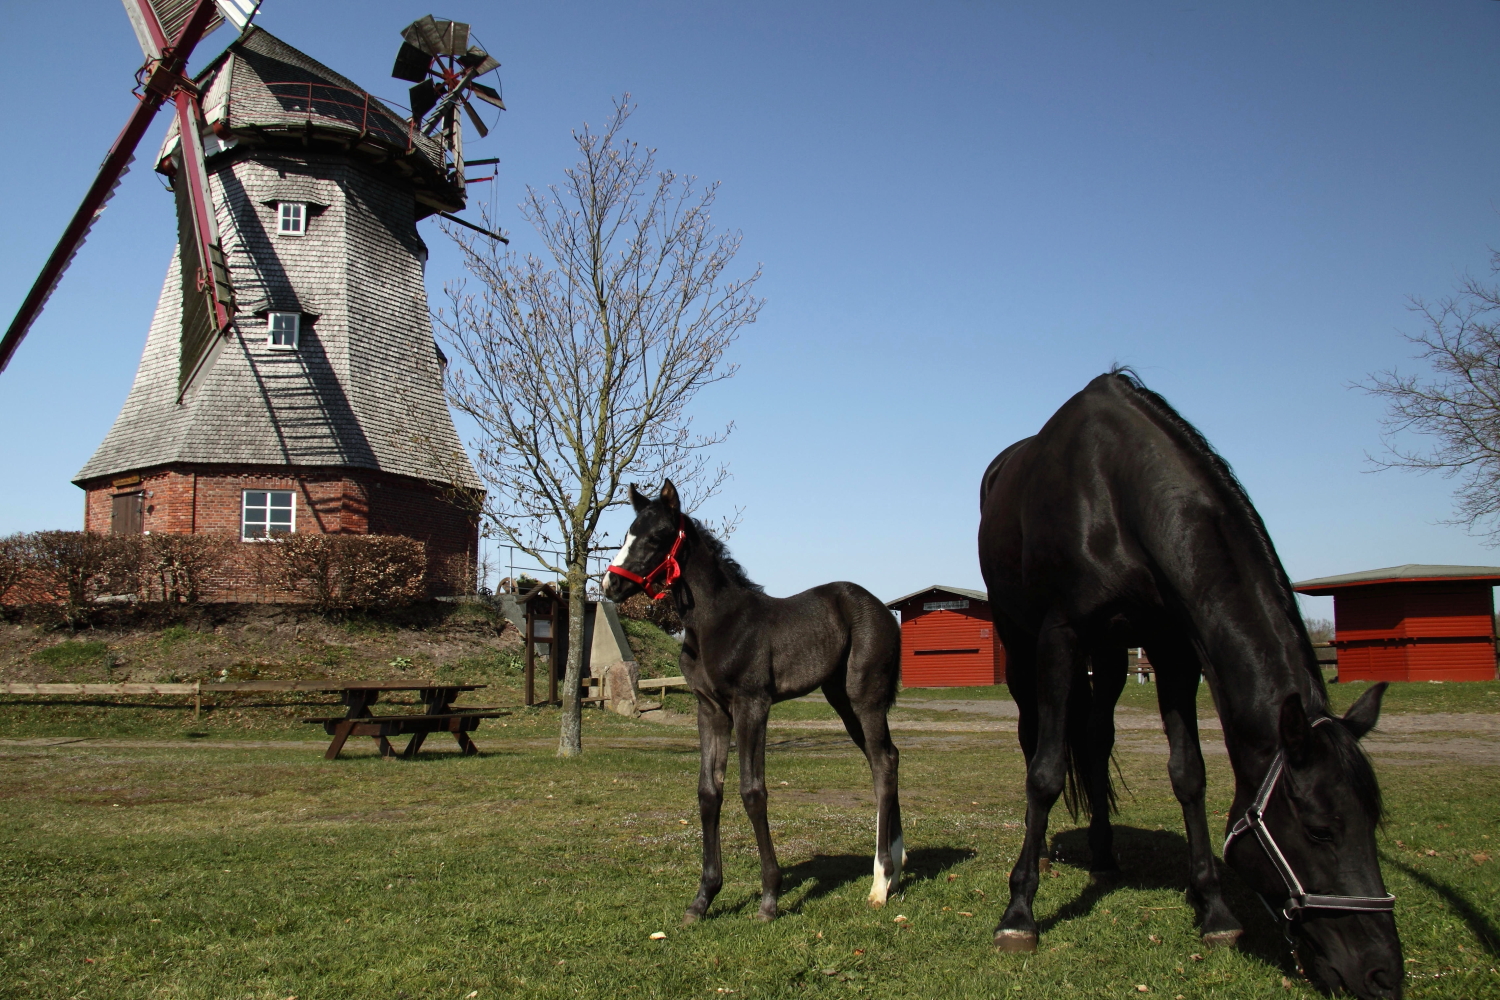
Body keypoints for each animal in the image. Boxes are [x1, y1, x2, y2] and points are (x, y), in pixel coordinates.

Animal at [603, 482, 906, 923]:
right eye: (627, 533)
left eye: (657, 536)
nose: (610, 585)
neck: (717, 624)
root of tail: (884, 610)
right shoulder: (710, 709)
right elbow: (708, 791)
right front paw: (703, 897)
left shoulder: (752, 705)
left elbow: (752, 791)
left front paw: (769, 898)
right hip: (841, 699)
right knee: (885, 757)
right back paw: (897, 869)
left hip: (864, 695)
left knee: (882, 763)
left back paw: (880, 883)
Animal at [978, 371, 1398, 995]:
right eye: (1320, 830)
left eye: (1373, 820)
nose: (1382, 973)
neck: (1117, 496)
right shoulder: (1061, 635)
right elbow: (1046, 772)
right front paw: (1019, 914)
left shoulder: (1173, 647)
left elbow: (1189, 773)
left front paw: (1215, 910)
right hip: (1022, 642)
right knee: (1036, 738)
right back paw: (1045, 860)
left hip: (1112, 653)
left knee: (1097, 740)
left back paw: (1104, 853)